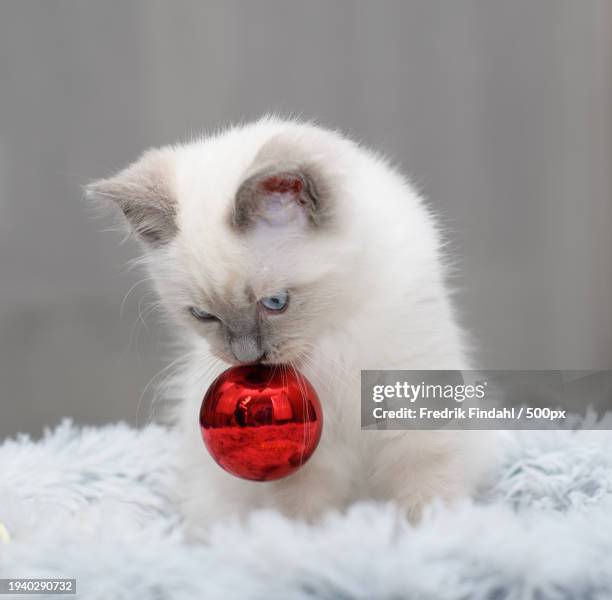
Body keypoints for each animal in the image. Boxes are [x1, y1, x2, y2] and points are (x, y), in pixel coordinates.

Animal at [88, 116, 494, 536]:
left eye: (275, 303)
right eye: (204, 315)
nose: (247, 356)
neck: (330, 341)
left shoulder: (413, 410)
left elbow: (426, 494)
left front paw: (426, 536)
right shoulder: (310, 454)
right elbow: (305, 512)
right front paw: (306, 543)